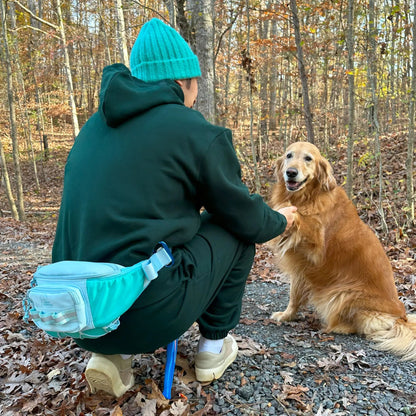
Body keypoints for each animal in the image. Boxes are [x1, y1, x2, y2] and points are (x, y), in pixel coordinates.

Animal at [270, 141, 416, 360]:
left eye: (308, 158)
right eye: (289, 155)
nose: (291, 172)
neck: (308, 196)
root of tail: (402, 316)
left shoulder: (316, 248)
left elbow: (303, 221)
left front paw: (286, 212)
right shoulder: (301, 267)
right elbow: (294, 296)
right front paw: (287, 315)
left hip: (343, 294)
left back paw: (337, 327)